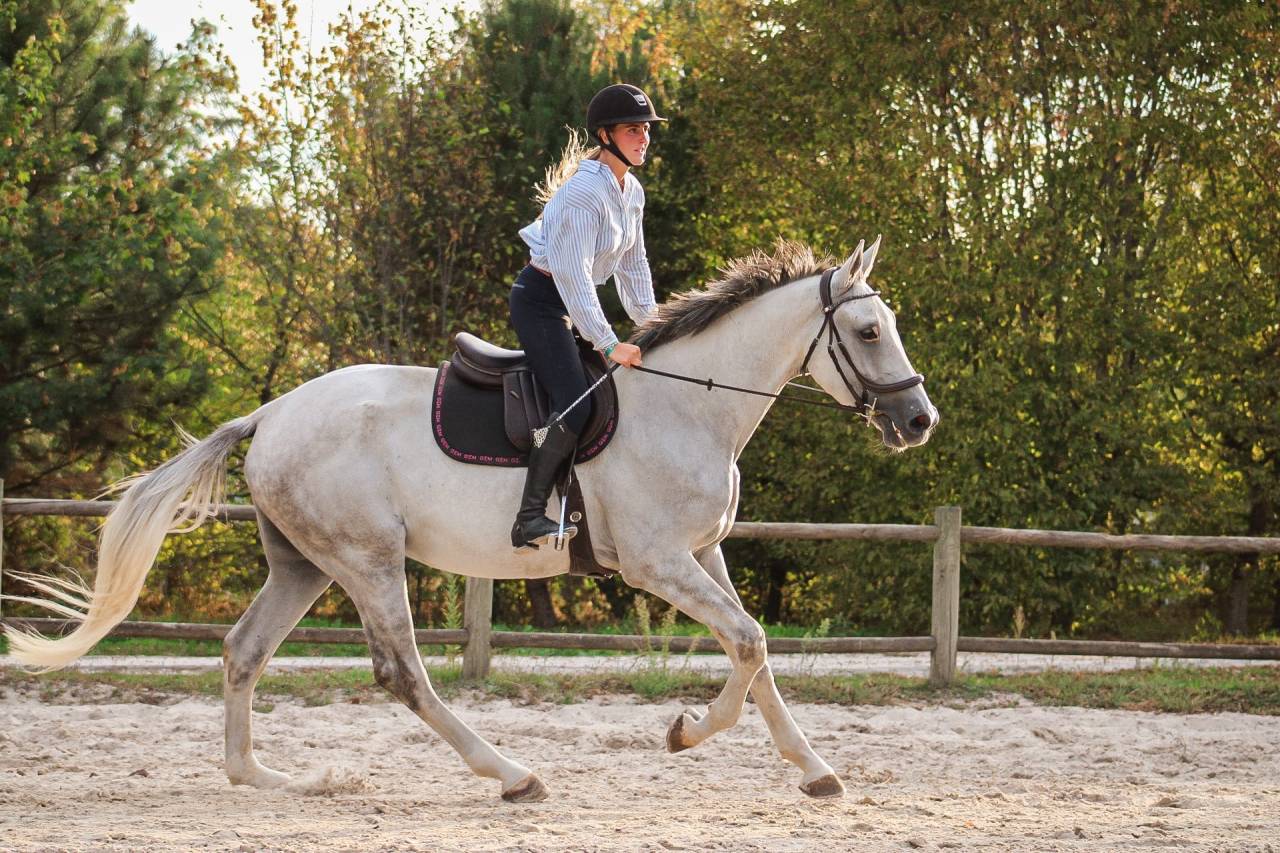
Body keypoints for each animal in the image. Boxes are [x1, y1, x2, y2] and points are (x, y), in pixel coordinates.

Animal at [6, 237, 937, 802]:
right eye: (866, 329)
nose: (919, 420)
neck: (689, 405)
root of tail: (269, 414)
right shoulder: (657, 561)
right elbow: (749, 643)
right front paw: (685, 731)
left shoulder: (705, 554)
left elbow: (757, 654)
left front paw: (814, 770)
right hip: (368, 559)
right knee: (402, 673)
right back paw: (511, 773)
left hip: (304, 565)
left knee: (243, 651)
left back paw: (263, 777)